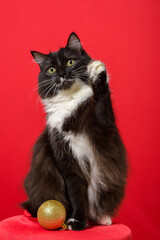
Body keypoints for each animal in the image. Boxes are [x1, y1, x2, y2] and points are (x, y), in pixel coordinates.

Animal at [22, 32, 127, 231]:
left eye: (70, 62)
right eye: (51, 70)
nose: (62, 74)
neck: (71, 102)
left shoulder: (104, 127)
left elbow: (101, 98)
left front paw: (98, 70)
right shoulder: (66, 160)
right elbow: (77, 194)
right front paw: (77, 221)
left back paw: (103, 218)